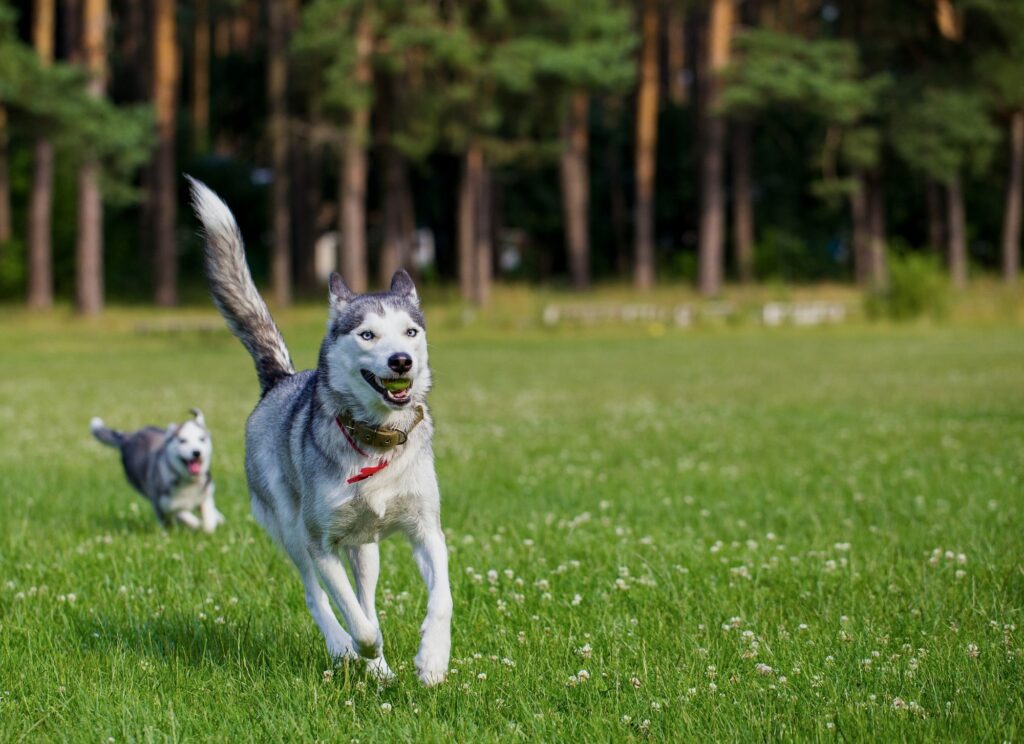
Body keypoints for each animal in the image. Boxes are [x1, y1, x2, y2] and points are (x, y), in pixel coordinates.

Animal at [90, 409, 224, 532]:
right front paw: (194, 523)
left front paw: (210, 523)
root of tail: (129, 436)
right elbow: (180, 513)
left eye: (202, 439)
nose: (196, 452)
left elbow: (208, 520)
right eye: (182, 441)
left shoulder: (206, 492)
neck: (188, 481)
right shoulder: (162, 503)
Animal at [188, 176, 452, 687]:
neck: (376, 441)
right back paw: (344, 648)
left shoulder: (426, 528)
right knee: (321, 598)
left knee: (366, 592)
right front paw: (362, 648)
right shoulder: (320, 541)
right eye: (367, 335)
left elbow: (441, 598)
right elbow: (358, 620)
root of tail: (282, 379)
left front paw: (431, 660)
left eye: (411, 332)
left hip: (366, 549)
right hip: (289, 530)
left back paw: (382, 670)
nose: (401, 362)